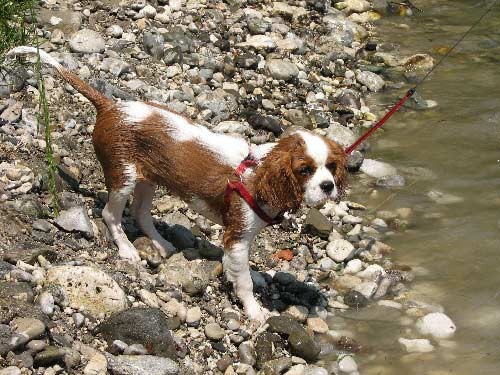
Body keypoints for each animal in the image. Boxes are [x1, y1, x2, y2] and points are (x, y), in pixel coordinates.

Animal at [7, 47, 348, 322]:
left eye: (331, 167)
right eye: (305, 170)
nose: (328, 186)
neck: (257, 174)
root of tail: (111, 107)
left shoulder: (241, 238)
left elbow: (242, 268)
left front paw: (253, 276)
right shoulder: (236, 236)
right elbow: (243, 282)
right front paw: (254, 310)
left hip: (148, 180)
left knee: (141, 214)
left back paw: (160, 243)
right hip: (123, 176)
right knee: (110, 214)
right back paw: (127, 249)